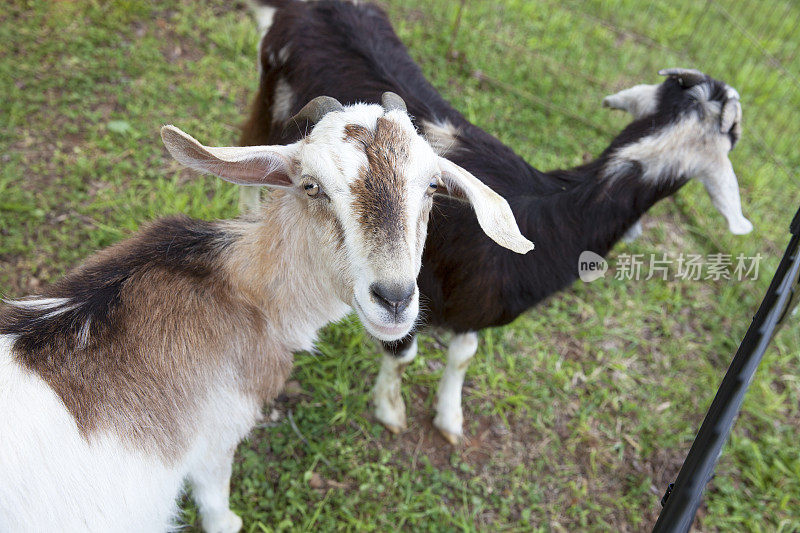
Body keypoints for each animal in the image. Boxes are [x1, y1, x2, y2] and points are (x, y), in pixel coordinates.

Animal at [0, 96, 532, 532]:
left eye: (433, 186)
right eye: (311, 186)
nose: (395, 299)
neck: (238, 289)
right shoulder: (216, 437)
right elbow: (215, 501)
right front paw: (228, 522)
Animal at [241, 0, 752, 442]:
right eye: (734, 133)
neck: (550, 210)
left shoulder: (476, 300)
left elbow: (464, 355)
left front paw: (450, 419)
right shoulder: (407, 289)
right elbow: (404, 352)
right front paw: (390, 411)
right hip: (269, 99)